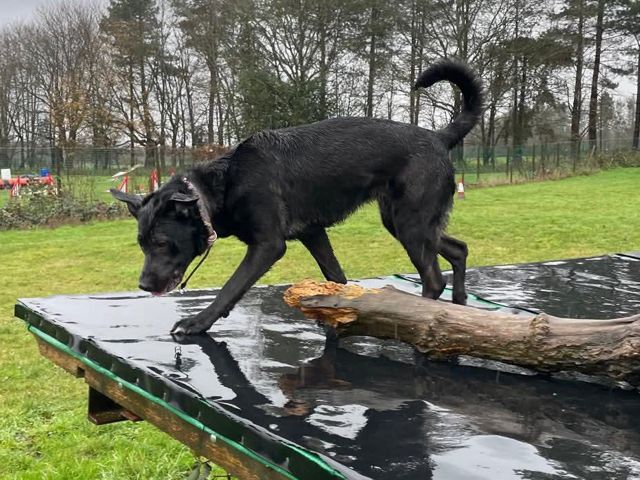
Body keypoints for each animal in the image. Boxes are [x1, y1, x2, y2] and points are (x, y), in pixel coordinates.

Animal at [111, 59, 483, 335]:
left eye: (161, 243)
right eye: (141, 244)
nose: (143, 285)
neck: (225, 182)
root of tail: (438, 136)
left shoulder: (267, 246)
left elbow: (231, 287)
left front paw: (198, 322)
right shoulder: (313, 233)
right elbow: (336, 277)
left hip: (411, 225)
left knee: (434, 279)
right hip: (404, 221)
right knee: (459, 249)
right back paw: (460, 304)